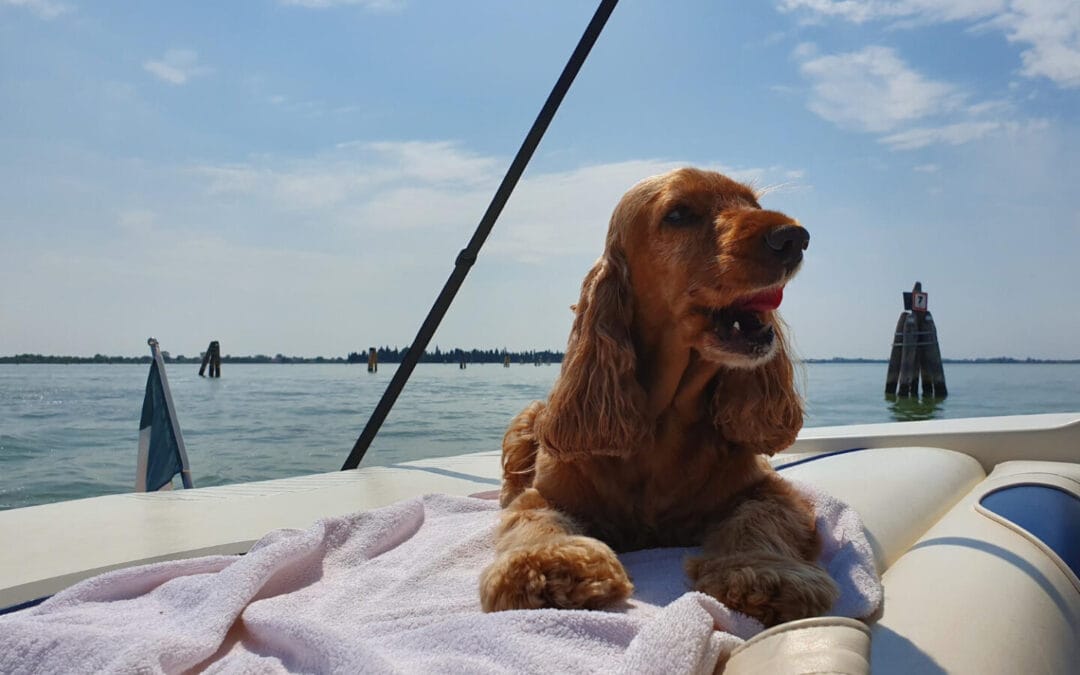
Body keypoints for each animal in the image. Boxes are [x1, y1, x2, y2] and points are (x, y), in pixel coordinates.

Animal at [477, 168, 838, 626]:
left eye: (752, 205)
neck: (666, 416)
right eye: (679, 213)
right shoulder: (548, 492)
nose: (793, 237)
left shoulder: (769, 489)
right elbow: (533, 516)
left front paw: (764, 571)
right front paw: (550, 564)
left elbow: (761, 517)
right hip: (528, 418)